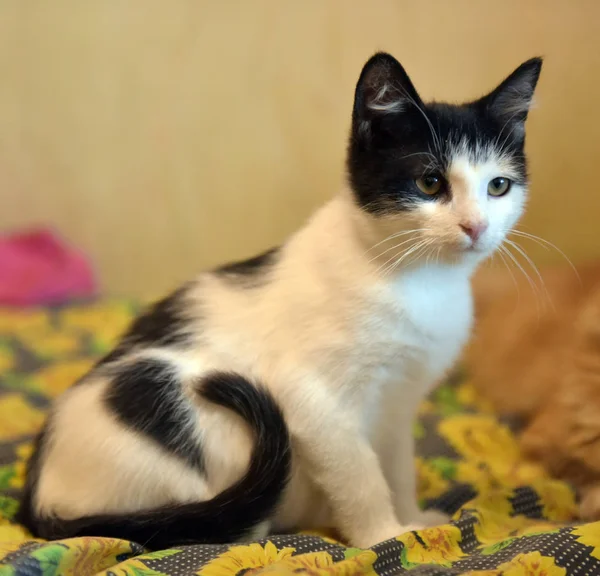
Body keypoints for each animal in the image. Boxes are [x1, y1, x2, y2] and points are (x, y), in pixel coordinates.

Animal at [21, 53, 540, 548]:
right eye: (430, 183)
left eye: (498, 186)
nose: (476, 226)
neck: (417, 278)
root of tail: (37, 501)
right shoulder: (310, 399)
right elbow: (360, 473)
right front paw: (384, 536)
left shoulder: (399, 401)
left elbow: (396, 465)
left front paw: (417, 520)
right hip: (169, 399)